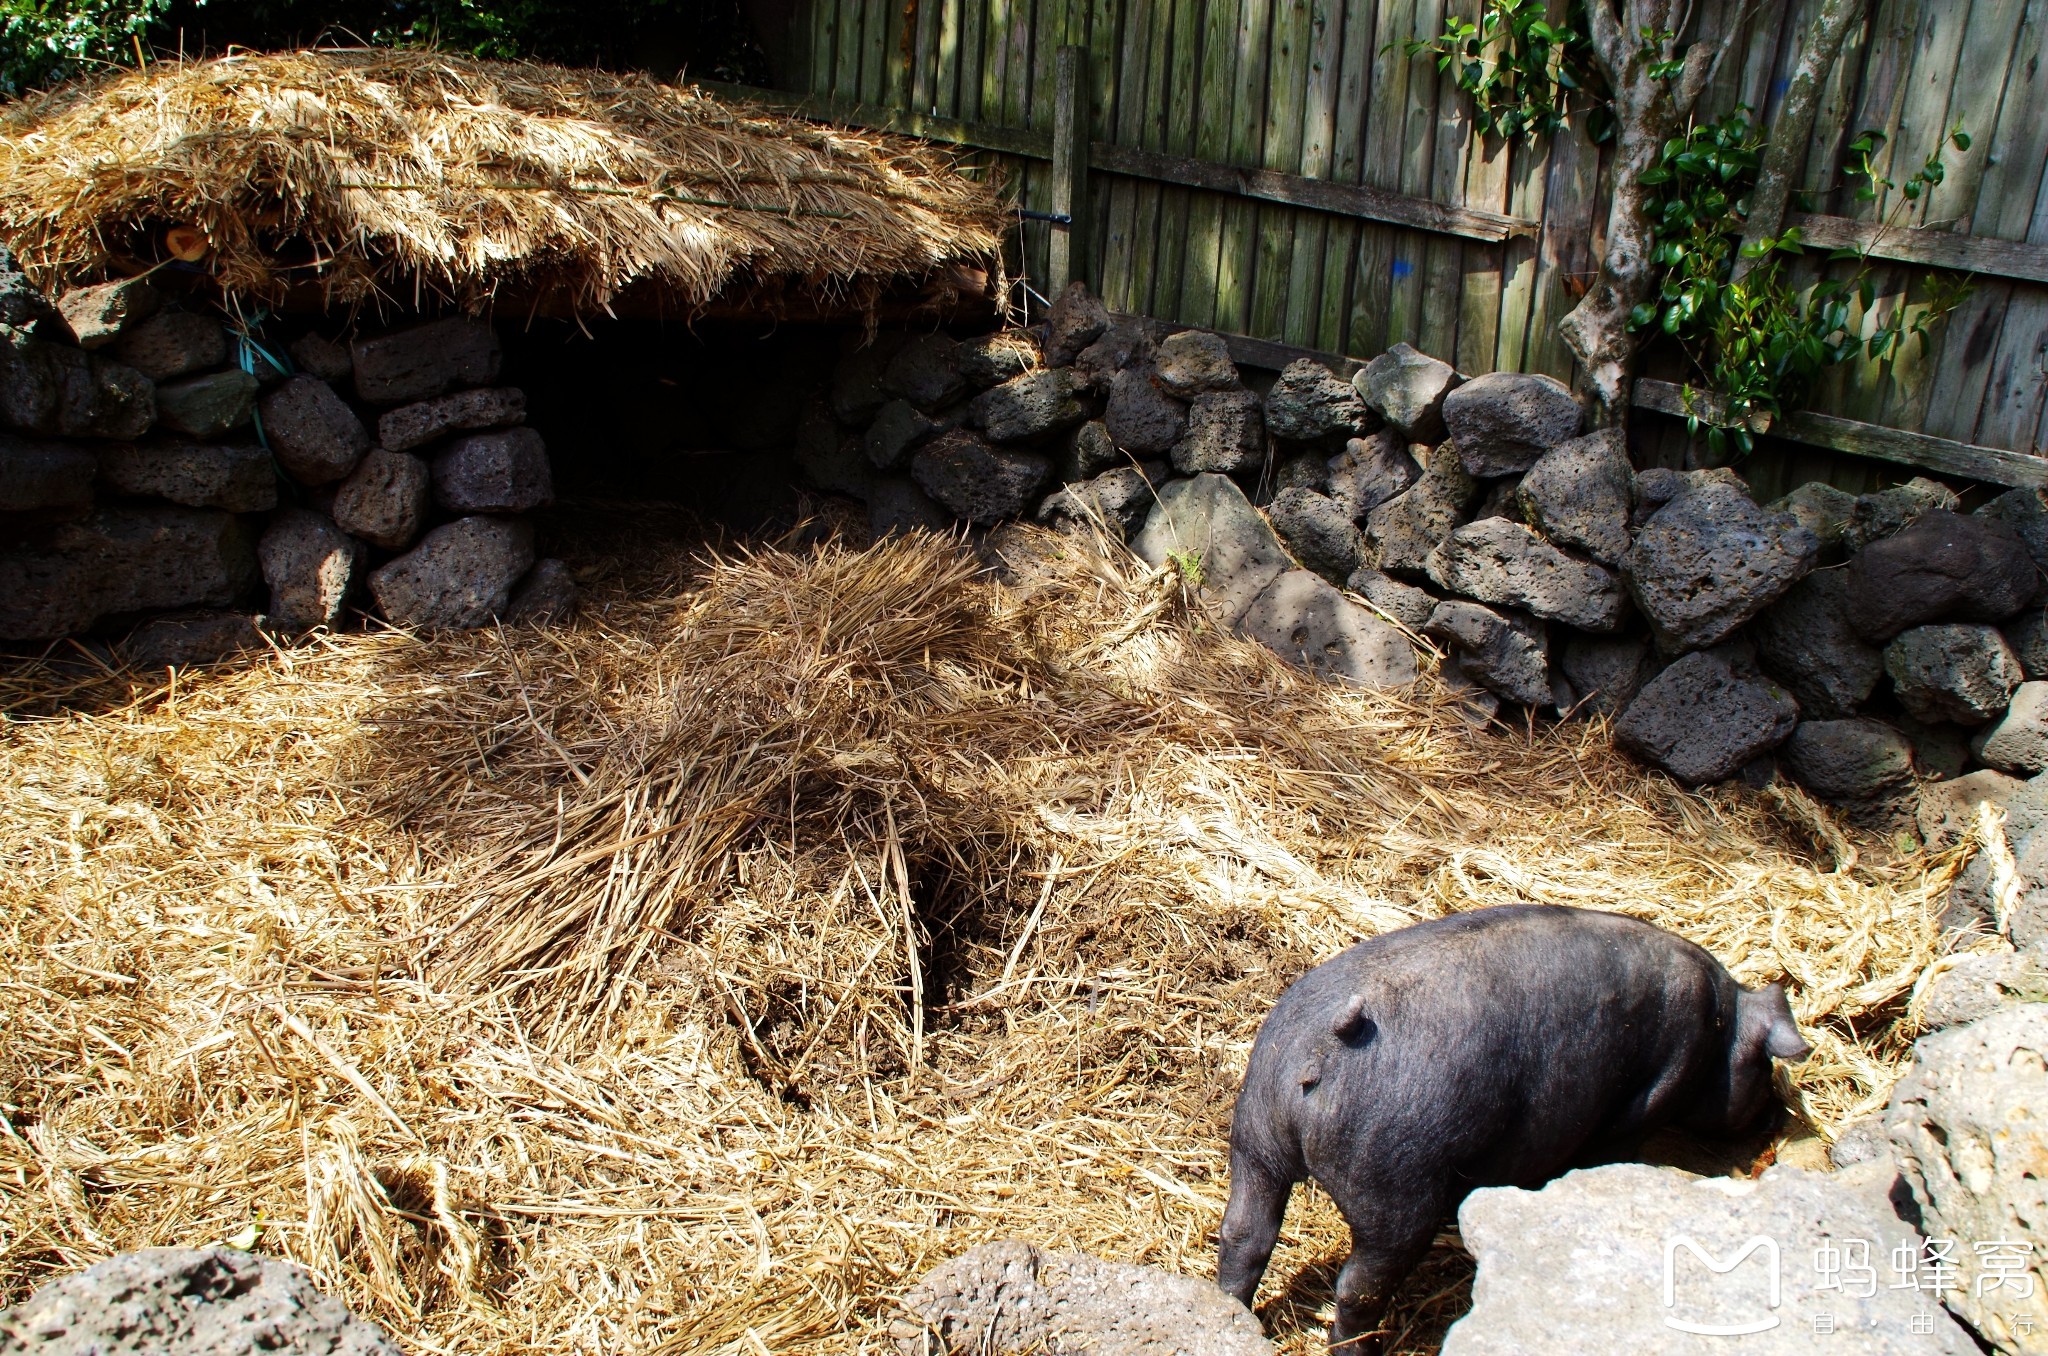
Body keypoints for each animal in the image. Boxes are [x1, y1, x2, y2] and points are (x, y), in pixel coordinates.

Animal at [1212, 909, 1810, 1351]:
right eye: (1765, 1068)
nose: (1777, 1118)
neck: (1720, 1026)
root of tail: (1325, 1042)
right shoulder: (1646, 1100)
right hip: (1394, 1184)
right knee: (1359, 1286)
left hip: (1256, 1133)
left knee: (1245, 1234)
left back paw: (1233, 1315)